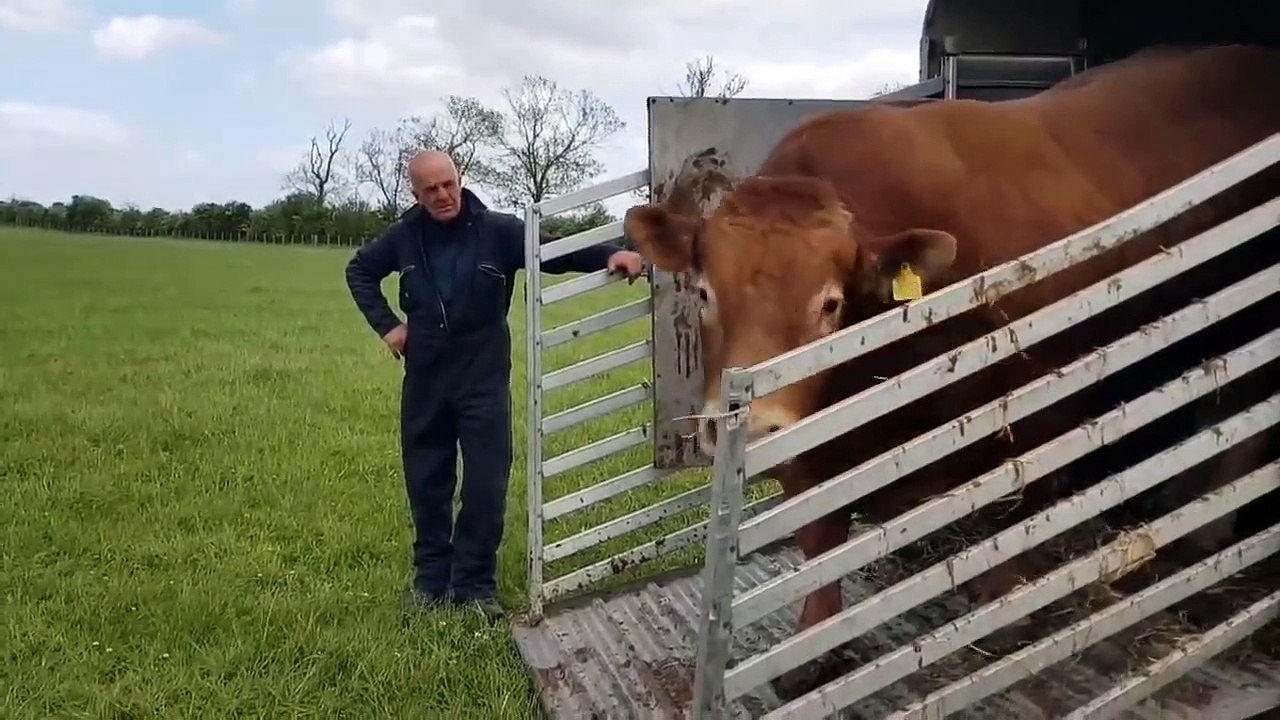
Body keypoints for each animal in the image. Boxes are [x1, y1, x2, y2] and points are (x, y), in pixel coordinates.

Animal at [625, 44, 1280, 697]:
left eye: (830, 304)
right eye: (703, 292)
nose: (756, 429)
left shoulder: (1036, 405)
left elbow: (1015, 505)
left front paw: (1007, 606)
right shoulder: (812, 451)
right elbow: (820, 537)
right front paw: (812, 646)